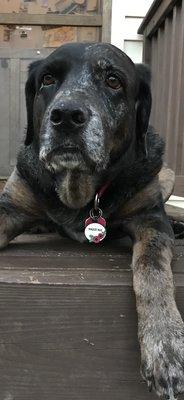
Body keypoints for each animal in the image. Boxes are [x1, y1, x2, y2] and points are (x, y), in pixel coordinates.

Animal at [0, 42, 184, 398]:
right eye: (47, 79)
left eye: (113, 81)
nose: (67, 116)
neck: (81, 189)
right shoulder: (11, 202)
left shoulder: (150, 218)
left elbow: (152, 270)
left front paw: (165, 347)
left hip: (166, 173)